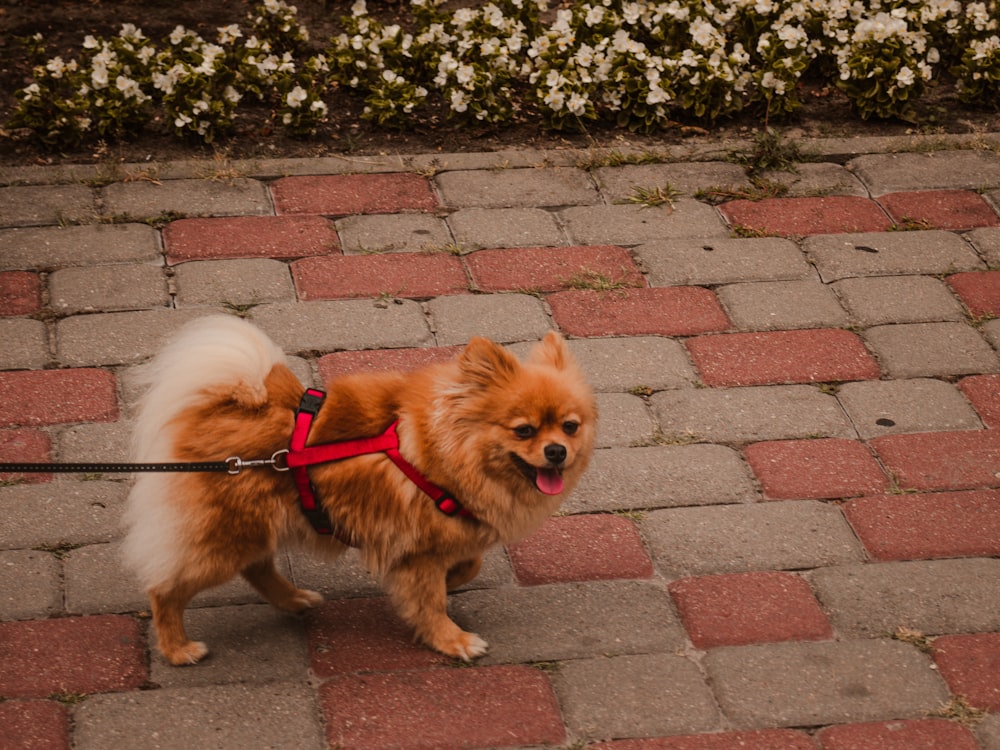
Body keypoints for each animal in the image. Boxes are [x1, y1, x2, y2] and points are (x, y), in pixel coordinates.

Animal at [122, 314, 596, 668]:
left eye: (570, 426)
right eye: (524, 430)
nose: (556, 451)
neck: (449, 450)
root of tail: (221, 405)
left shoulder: (443, 538)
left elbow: (470, 563)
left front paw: (455, 579)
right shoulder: (418, 549)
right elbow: (430, 602)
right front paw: (453, 639)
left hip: (253, 529)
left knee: (257, 567)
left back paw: (294, 599)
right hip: (226, 539)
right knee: (166, 588)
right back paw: (177, 649)